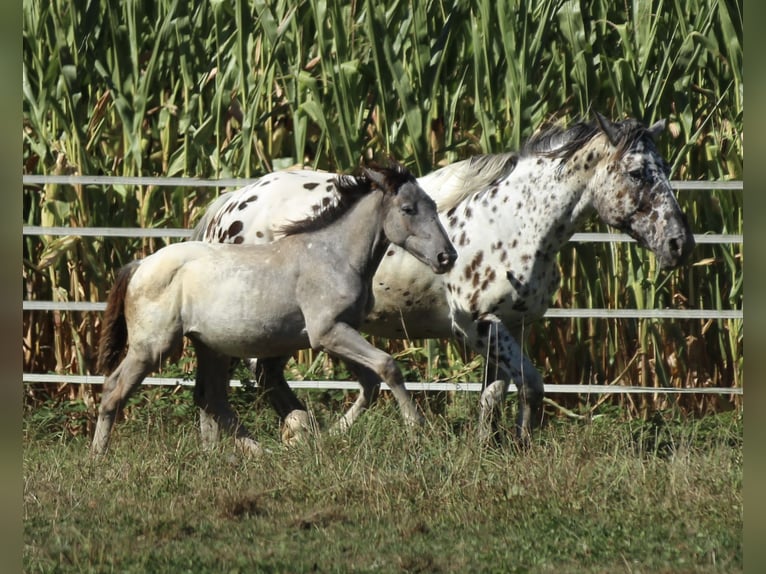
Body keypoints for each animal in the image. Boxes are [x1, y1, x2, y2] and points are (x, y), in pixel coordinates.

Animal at [94, 164, 460, 456]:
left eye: (432, 206)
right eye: (408, 209)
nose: (447, 257)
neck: (332, 256)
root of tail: (140, 264)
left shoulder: (337, 333)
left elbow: (370, 383)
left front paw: (327, 435)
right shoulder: (328, 332)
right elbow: (388, 367)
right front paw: (416, 427)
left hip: (209, 347)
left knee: (209, 398)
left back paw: (254, 451)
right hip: (152, 346)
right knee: (115, 390)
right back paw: (98, 457)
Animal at [192, 111, 696, 446]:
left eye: (667, 171)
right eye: (637, 172)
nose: (680, 244)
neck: (514, 221)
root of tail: (229, 205)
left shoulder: (511, 328)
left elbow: (495, 395)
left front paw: (489, 448)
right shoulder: (479, 325)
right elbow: (533, 386)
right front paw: (519, 445)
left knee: (260, 377)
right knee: (251, 376)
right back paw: (292, 432)